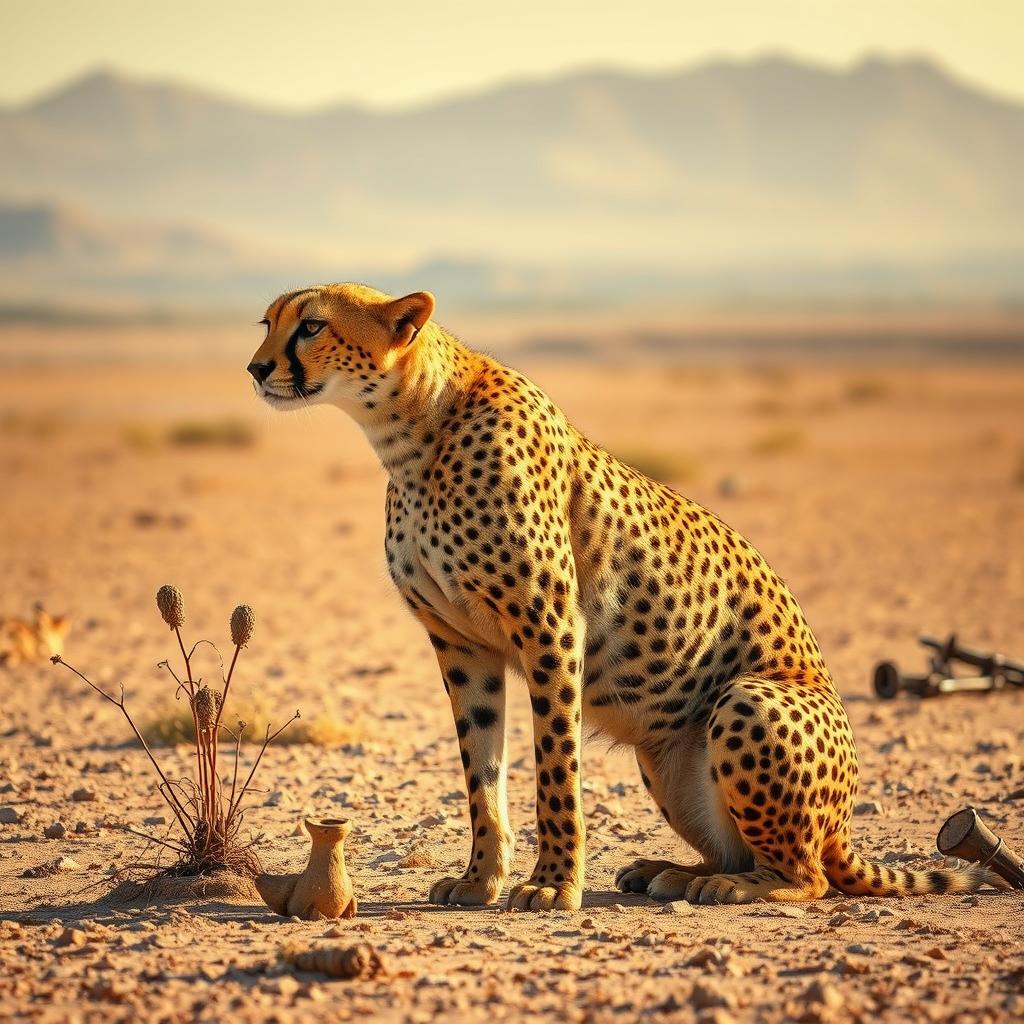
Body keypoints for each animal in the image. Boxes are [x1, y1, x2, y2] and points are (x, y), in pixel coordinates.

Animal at [248, 282, 998, 911]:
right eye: (268, 323)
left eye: (311, 325)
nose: (255, 368)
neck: (412, 432)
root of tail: (840, 827)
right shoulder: (461, 644)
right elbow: (480, 775)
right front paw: (481, 878)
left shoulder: (550, 626)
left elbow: (556, 769)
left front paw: (553, 885)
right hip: (663, 762)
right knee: (745, 849)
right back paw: (671, 870)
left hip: (749, 701)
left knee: (808, 875)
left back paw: (728, 886)